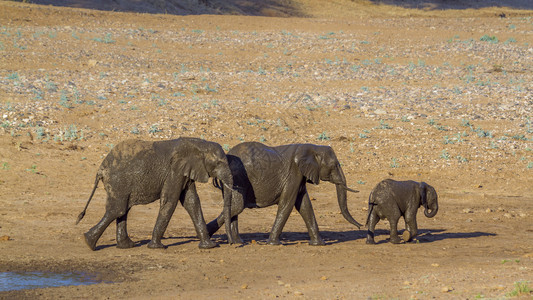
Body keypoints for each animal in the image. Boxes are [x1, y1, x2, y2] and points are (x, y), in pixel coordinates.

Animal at [76, 138, 234, 251]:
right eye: (219, 163)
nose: (231, 243)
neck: (199, 145)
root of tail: (100, 169)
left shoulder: (185, 172)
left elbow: (192, 202)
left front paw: (210, 246)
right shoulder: (174, 172)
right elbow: (170, 201)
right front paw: (157, 247)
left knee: (122, 209)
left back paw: (125, 246)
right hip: (117, 182)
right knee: (118, 209)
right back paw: (89, 242)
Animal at [205, 142, 362, 245]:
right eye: (335, 165)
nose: (361, 226)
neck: (312, 148)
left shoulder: (299, 176)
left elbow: (305, 206)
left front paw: (319, 244)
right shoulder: (294, 173)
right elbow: (287, 204)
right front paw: (273, 243)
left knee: (233, 207)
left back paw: (237, 241)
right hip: (239, 178)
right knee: (237, 206)